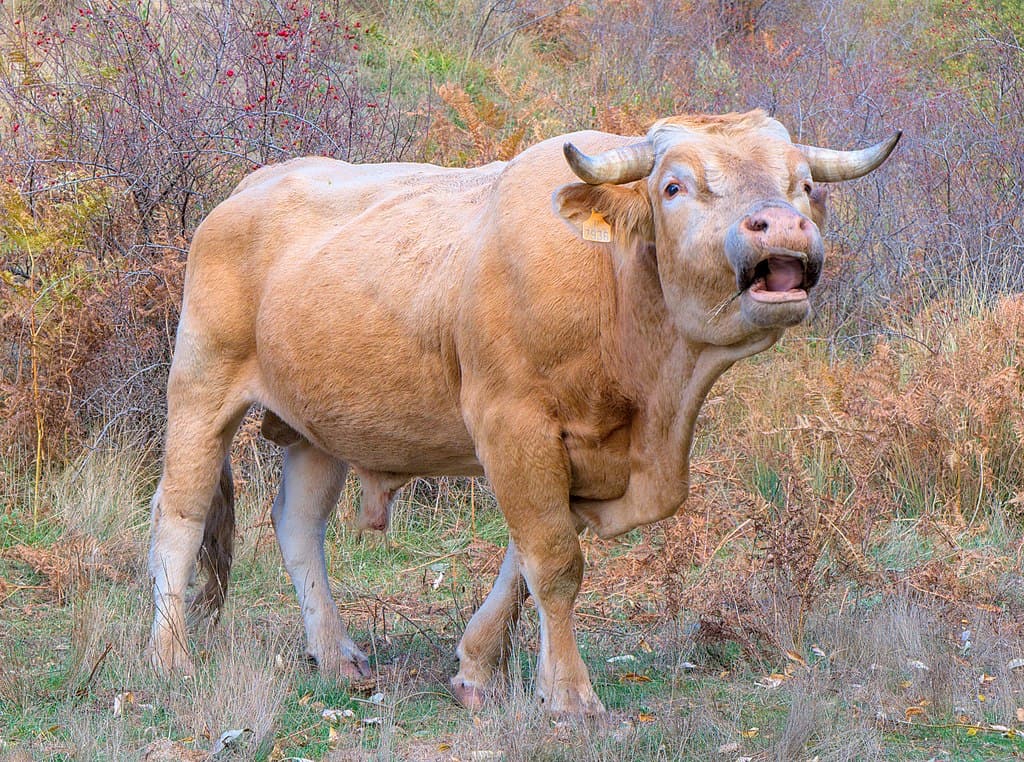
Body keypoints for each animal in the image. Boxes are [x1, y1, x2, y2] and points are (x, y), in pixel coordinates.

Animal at [146, 109, 899, 714]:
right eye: (674, 186)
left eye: (803, 186)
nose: (783, 225)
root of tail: (248, 187)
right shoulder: (512, 424)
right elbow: (555, 562)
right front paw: (569, 696)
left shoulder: (566, 448)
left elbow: (526, 563)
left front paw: (480, 667)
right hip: (200, 386)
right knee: (179, 517)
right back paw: (170, 658)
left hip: (319, 428)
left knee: (299, 525)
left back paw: (338, 656)